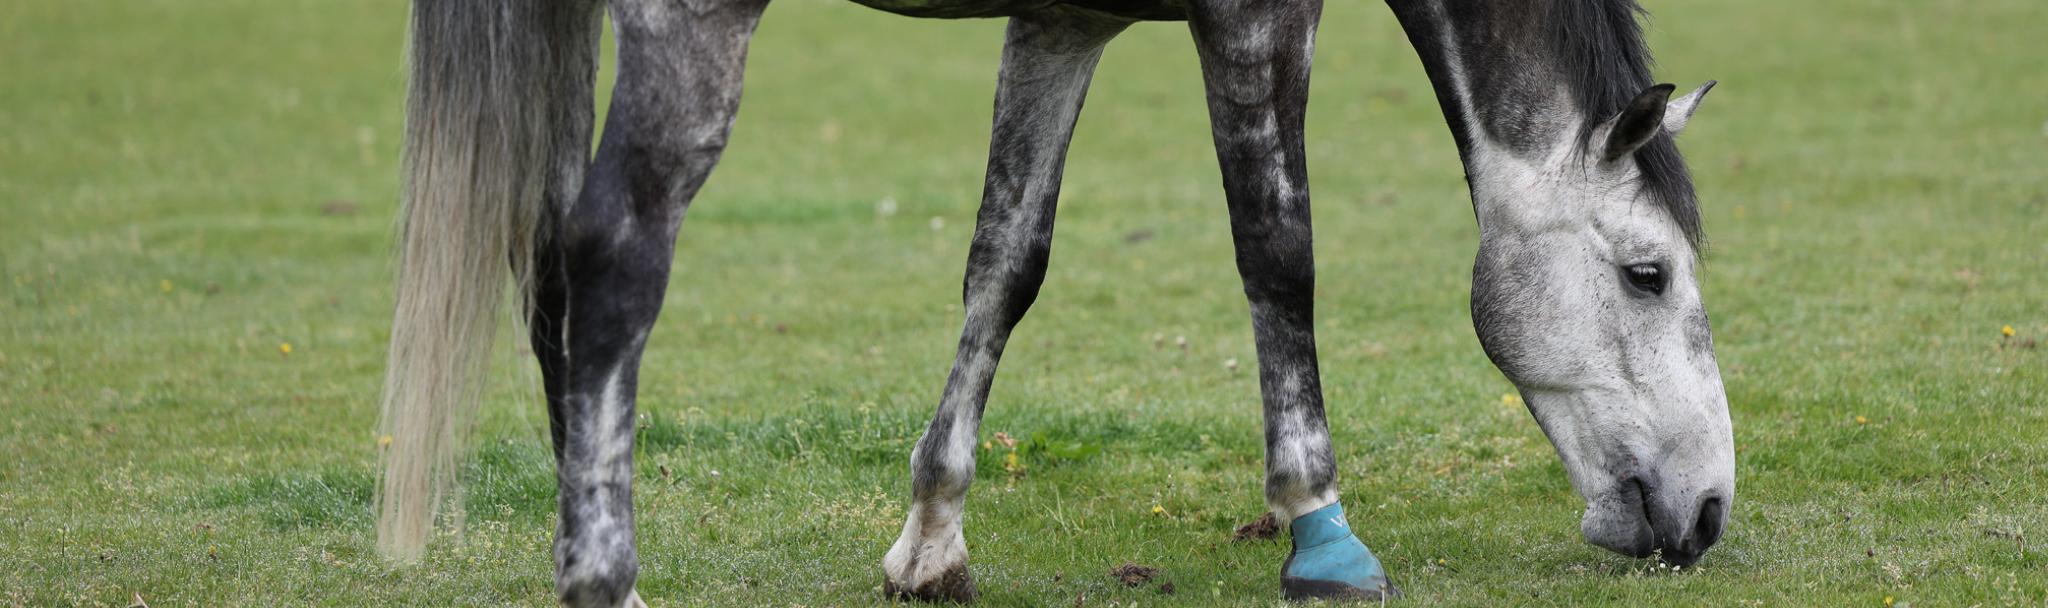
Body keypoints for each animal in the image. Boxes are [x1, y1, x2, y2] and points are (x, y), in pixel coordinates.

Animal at [371, 0, 1733, 605]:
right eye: (1647, 272)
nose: (1709, 509)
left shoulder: (1060, 24)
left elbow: (1005, 263)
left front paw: (932, 535)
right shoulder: (1255, 18)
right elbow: (1277, 254)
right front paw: (1321, 532)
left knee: (547, 264)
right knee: (610, 260)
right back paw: (608, 580)